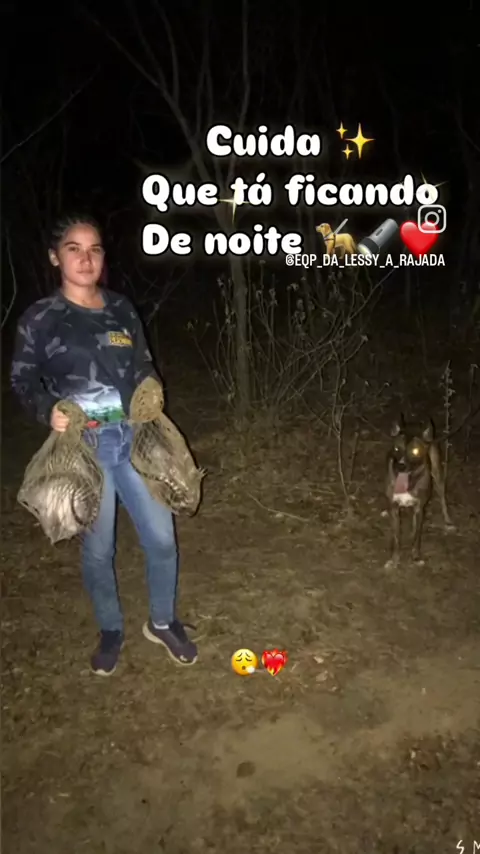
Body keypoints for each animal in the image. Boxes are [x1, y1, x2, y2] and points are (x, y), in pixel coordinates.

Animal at [384, 415, 455, 569]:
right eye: (397, 448)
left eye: (415, 451)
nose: (401, 466)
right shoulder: (394, 508)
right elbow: (396, 538)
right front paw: (394, 560)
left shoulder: (419, 508)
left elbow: (417, 536)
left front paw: (415, 557)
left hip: (438, 475)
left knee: (443, 499)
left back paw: (448, 521)